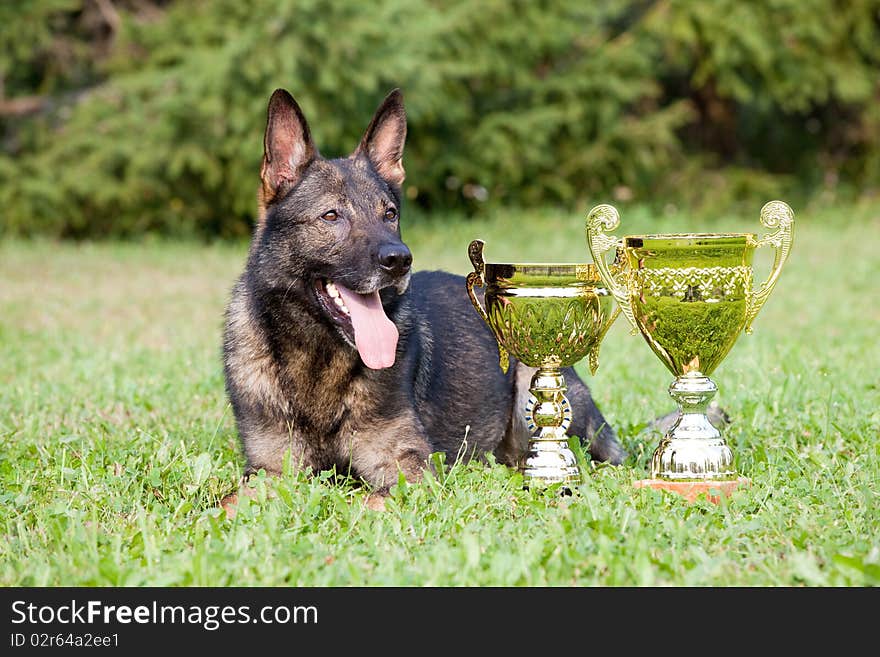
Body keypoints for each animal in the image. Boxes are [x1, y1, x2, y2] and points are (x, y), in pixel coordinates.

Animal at [225, 88, 624, 508]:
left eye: (390, 214)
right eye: (331, 216)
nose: (400, 260)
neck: (319, 360)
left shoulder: (409, 469)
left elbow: (363, 500)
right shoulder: (270, 471)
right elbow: (225, 503)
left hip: (531, 386)